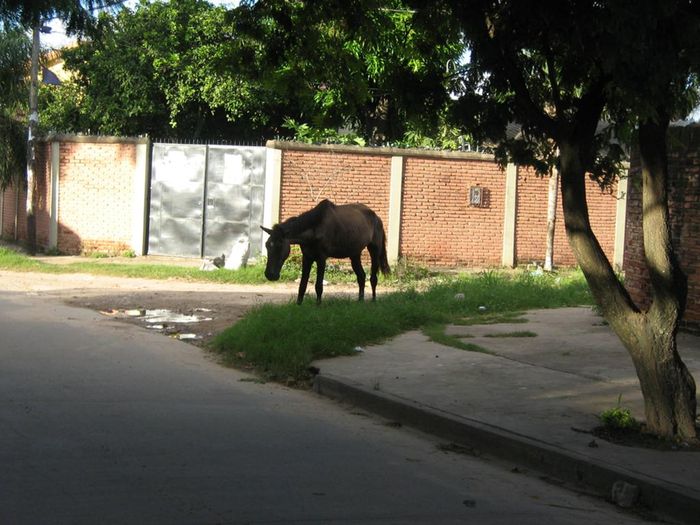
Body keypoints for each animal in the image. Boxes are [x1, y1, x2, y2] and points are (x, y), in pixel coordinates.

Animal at [262, 201, 392, 308]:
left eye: (279, 245)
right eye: (267, 245)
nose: (270, 275)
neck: (315, 228)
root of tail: (377, 218)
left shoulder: (321, 259)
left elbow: (318, 286)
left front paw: (318, 305)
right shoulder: (307, 258)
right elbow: (302, 285)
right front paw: (298, 305)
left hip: (374, 250)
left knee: (373, 278)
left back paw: (373, 300)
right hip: (354, 255)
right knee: (361, 276)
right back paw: (360, 301)